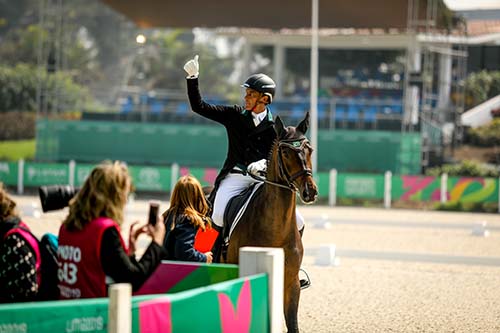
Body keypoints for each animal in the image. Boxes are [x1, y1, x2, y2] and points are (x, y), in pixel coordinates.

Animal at [225, 112, 318, 332]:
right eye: (285, 152)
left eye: (309, 149)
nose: (310, 191)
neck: (276, 229)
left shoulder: (291, 284)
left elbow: (293, 325)